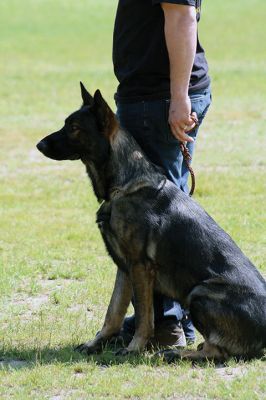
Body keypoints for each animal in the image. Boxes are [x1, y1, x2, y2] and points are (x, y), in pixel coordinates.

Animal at [37, 83, 266, 360]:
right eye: (66, 124)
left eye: (74, 128)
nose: (39, 145)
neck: (124, 186)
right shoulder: (124, 267)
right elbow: (113, 312)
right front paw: (97, 343)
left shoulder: (140, 266)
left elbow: (145, 317)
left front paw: (134, 348)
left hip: (199, 293)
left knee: (217, 351)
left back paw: (175, 354)